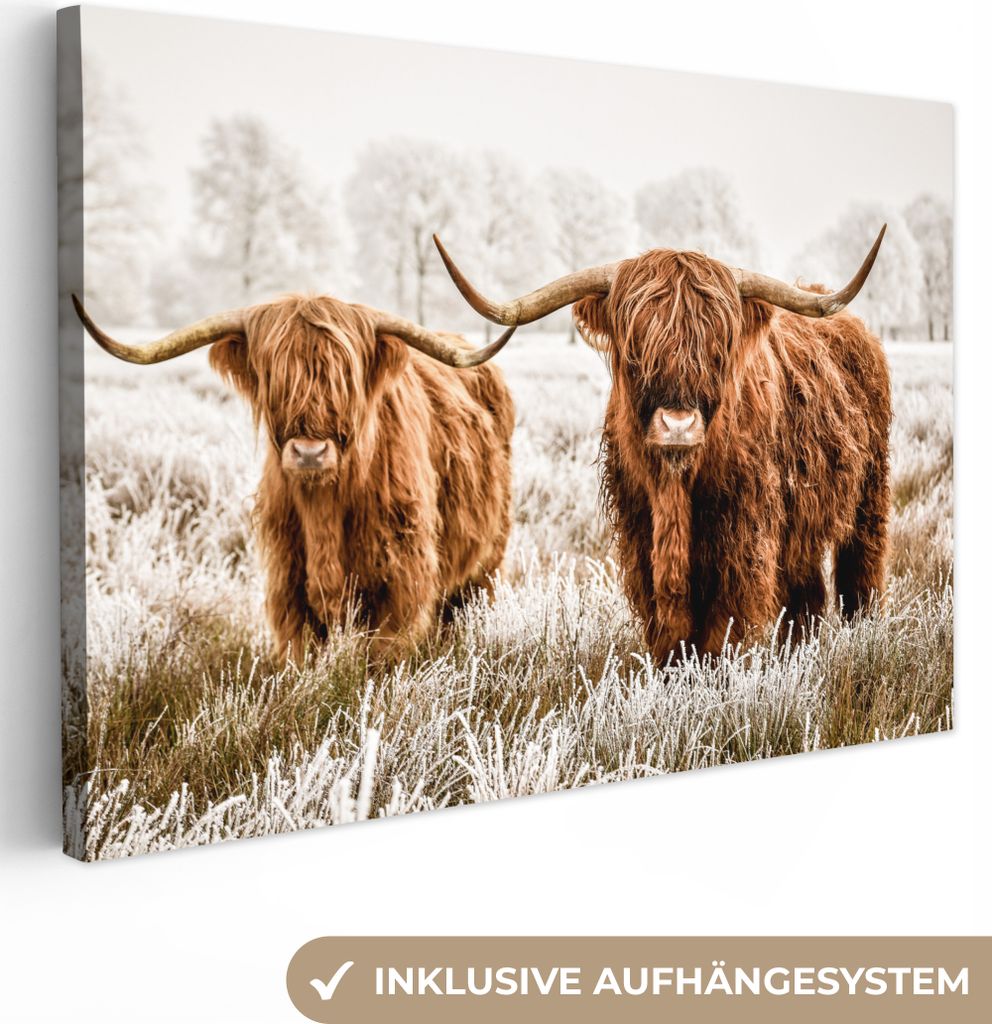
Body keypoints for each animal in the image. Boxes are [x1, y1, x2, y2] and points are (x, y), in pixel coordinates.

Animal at [74, 293, 516, 661]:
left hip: (486, 563)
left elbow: (383, 658)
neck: (324, 509)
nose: (309, 452)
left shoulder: (402, 584)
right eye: (275, 377)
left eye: (345, 377)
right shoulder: (288, 585)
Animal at [431, 228, 891, 662]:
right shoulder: (640, 537)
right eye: (637, 348)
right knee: (806, 591)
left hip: (870, 497)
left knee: (860, 573)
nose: (678, 425)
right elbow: (668, 629)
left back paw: (863, 635)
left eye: (718, 348)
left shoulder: (743, 539)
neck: (676, 488)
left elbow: (722, 629)